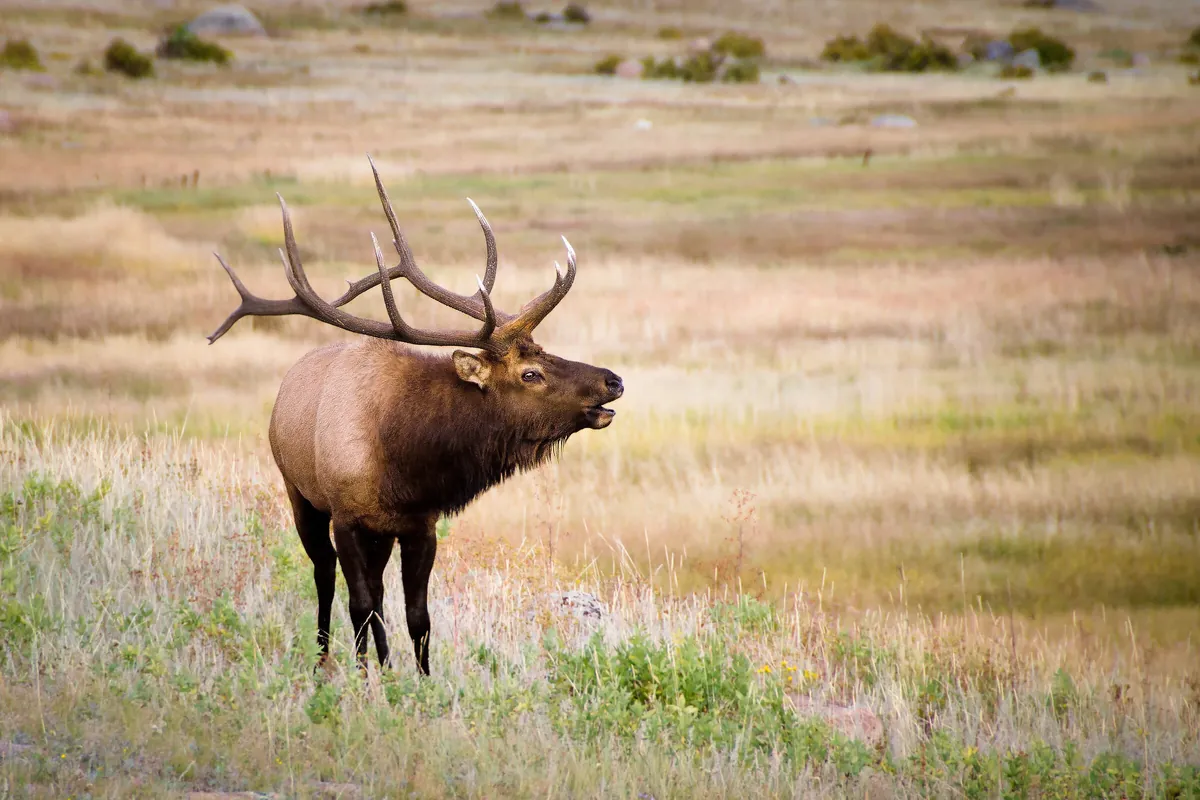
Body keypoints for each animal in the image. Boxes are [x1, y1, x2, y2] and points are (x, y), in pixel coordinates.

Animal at [206, 156, 624, 676]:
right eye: (531, 373)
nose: (613, 380)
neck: (402, 460)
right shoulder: (346, 515)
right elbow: (359, 605)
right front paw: (365, 678)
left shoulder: (419, 524)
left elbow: (416, 615)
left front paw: (417, 681)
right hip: (298, 492)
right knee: (326, 577)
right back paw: (324, 661)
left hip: (378, 532)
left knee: (377, 592)